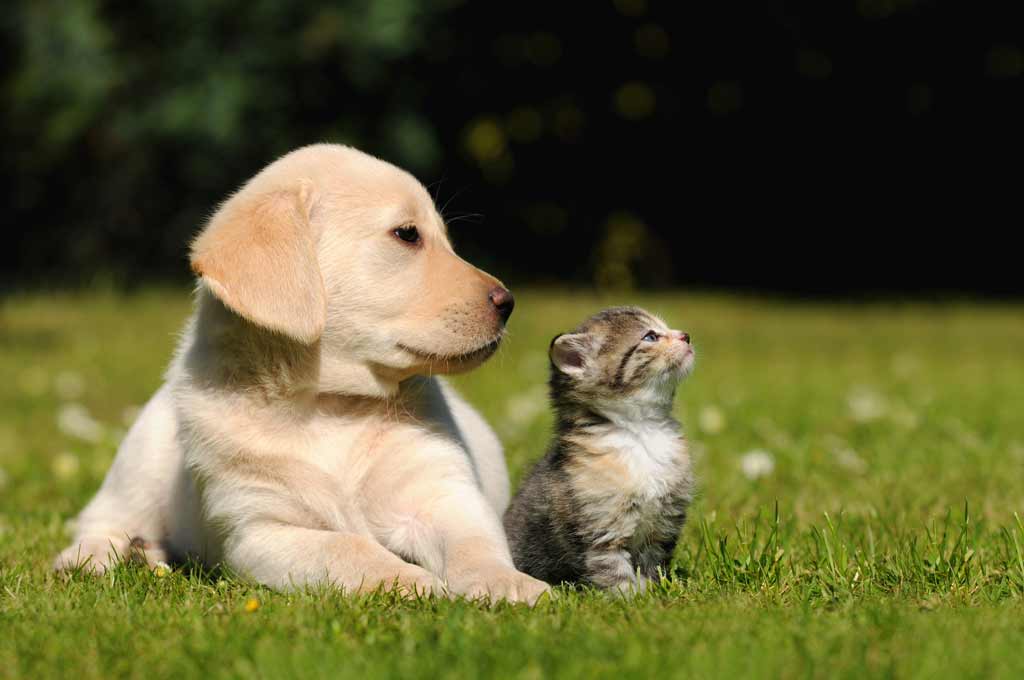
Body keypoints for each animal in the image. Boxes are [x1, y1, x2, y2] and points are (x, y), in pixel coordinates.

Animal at [54, 143, 552, 606]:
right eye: (407, 235)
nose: (508, 303)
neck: (329, 405)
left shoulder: (443, 494)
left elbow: (474, 543)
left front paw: (506, 582)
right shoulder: (261, 531)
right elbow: (348, 548)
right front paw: (410, 582)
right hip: (140, 462)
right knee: (100, 519)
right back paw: (94, 557)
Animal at [503, 305, 696, 593]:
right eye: (650, 336)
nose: (686, 335)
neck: (642, 432)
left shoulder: (662, 524)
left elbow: (652, 563)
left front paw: (654, 590)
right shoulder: (600, 530)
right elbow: (613, 570)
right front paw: (632, 597)